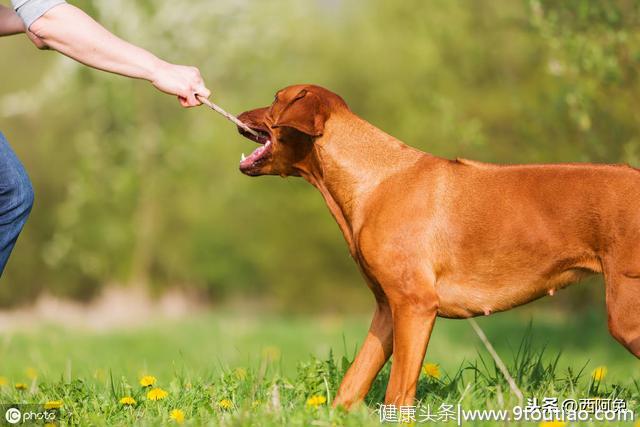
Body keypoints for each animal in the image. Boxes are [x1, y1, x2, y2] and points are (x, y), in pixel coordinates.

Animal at [236, 85, 640, 410]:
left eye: (276, 99)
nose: (238, 115)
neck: (374, 178)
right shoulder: (387, 310)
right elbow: (350, 387)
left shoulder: (415, 306)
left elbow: (398, 393)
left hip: (626, 316)